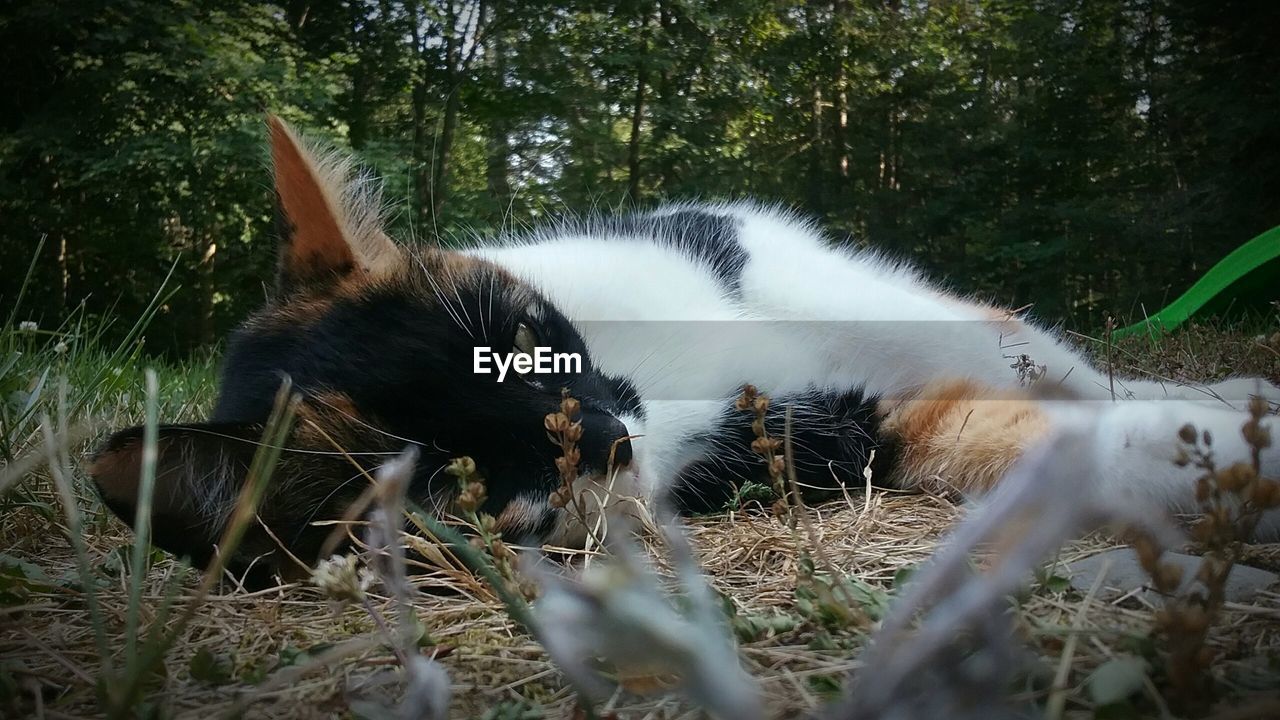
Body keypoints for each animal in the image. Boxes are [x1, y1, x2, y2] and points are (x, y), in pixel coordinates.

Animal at [90, 114, 1280, 579]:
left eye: (525, 337)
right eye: (453, 482)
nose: (606, 436)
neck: (661, 387)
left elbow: (1106, 399)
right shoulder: (829, 437)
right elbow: (1062, 443)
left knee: (1069, 361)